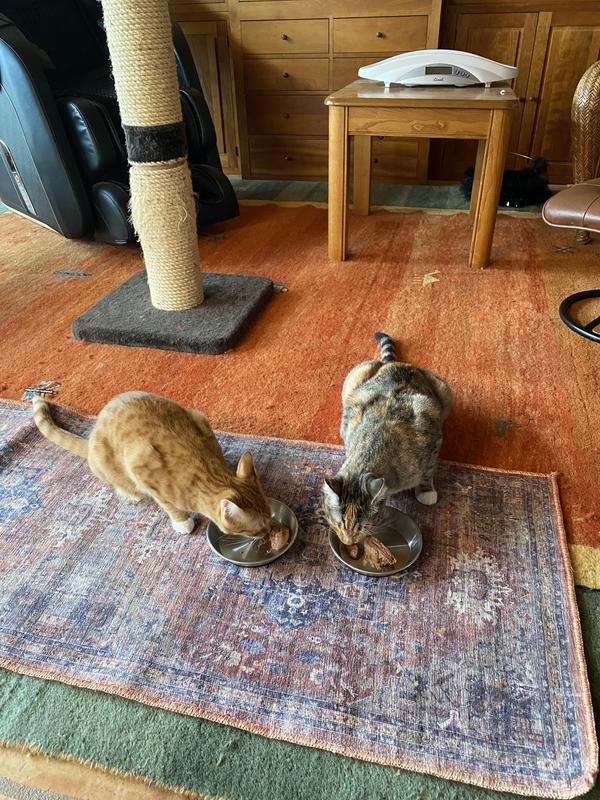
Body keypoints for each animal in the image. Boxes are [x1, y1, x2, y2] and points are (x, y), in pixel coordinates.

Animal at [32, 391, 272, 536]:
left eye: (270, 516)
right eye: (257, 530)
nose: (270, 532)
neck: (208, 473)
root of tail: (91, 438)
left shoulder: (201, 424)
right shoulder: (141, 466)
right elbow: (167, 504)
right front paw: (182, 521)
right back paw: (130, 494)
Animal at [322, 333, 452, 546]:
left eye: (362, 527)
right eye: (339, 523)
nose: (348, 542)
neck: (372, 447)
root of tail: (394, 363)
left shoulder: (433, 436)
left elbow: (428, 470)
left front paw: (426, 491)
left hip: (445, 391)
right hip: (353, 379)